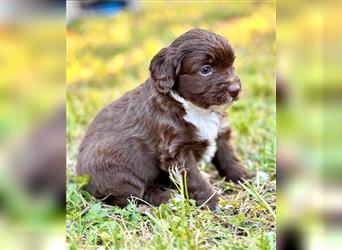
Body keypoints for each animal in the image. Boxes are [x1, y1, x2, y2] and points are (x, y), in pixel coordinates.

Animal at [76, 28, 250, 210]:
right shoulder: (177, 151)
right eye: (206, 69)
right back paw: (169, 198)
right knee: (136, 195)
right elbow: (195, 178)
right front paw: (213, 200)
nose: (235, 89)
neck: (192, 107)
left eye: (231, 65)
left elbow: (229, 159)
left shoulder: (220, 133)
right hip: (117, 172)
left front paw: (244, 178)